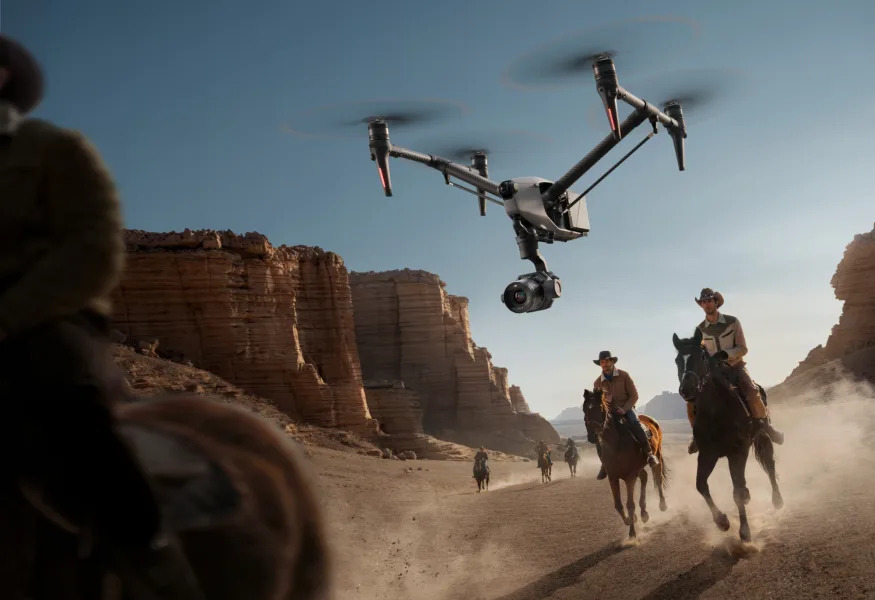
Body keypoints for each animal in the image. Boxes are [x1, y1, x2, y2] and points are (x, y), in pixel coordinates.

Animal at [580, 390, 672, 540]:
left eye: (600, 408)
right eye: (584, 409)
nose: (592, 436)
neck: (616, 445)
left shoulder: (630, 477)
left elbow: (630, 504)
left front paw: (632, 533)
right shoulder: (613, 477)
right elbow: (618, 505)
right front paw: (630, 519)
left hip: (657, 455)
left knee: (658, 479)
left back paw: (662, 505)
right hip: (638, 468)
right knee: (645, 477)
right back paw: (643, 513)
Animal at [676, 328, 784, 544]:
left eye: (700, 356)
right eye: (677, 360)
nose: (686, 390)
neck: (716, 412)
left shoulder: (738, 452)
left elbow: (738, 492)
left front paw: (745, 531)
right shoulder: (707, 455)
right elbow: (701, 485)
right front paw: (722, 522)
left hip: (762, 437)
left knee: (769, 465)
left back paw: (777, 500)